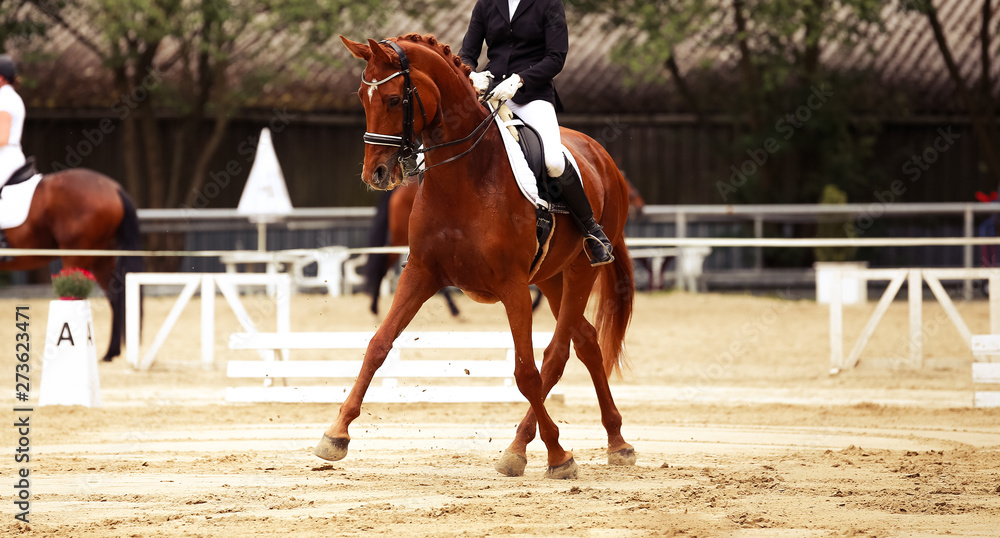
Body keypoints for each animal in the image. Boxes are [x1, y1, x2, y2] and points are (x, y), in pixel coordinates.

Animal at [0, 168, 144, 362]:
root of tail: (114, 188)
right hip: (100, 257)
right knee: (115, 298)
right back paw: (110, 353)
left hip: (76, 255)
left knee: (73, 299)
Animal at [315, 34, 636, 479]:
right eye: (363, 98)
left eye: (395, 100)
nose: (375, 175)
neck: (464, 177)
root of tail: (600, 155)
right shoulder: (421, 272)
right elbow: (378, 345)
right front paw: (336, 434)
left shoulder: (513, 287)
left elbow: (526, 372)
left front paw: (558, 455)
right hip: (550, 277)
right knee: (586, 342)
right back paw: (613, 441)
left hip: (579, 270)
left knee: (557, 354)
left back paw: (529, 447)